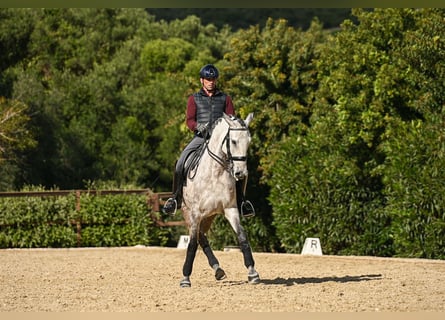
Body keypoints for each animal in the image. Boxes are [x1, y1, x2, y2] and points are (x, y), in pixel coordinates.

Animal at [178, 112, 258, 288]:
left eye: (248, 141)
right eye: (233, 141)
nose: (241, 173)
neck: (215, 172)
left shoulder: (230, 209)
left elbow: (242, 236)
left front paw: (252, 272)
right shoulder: (195, 213)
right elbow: (191, 244)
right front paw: (185, 278)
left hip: (209, 216)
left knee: (202, 236)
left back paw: (218, 269)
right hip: (188, 214)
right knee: (199, 238)